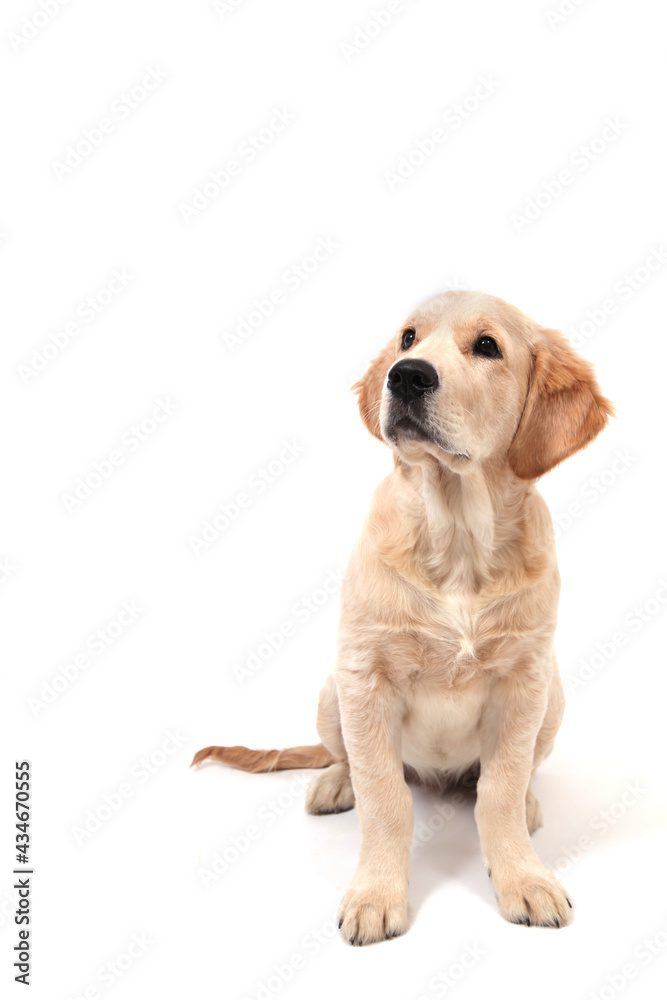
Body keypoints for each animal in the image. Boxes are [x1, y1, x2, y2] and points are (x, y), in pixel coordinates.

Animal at [192, 290, 612, 944]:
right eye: (408, 338)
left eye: (487, 345)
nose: (406, 375)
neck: (458, 537)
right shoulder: (365, 674)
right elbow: (385, 796)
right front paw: (376, 893)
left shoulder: (525, 677)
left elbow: (499, 789)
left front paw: (522, 875)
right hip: (332, 690)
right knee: (350, 759)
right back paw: (336, 783)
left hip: (555, 696)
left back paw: (529, 804)